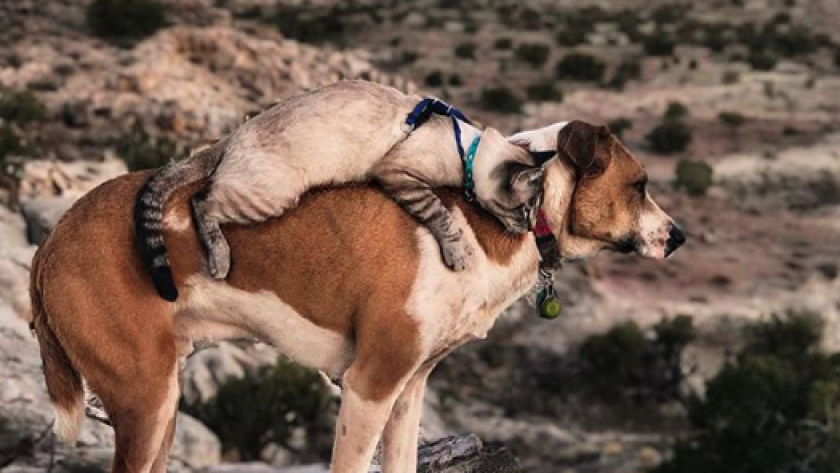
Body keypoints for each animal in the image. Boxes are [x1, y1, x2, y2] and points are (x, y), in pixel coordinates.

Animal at [31, 121, 684, 472]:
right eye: (640, 186)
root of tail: (51, 242)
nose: (678, 237)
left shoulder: (408, 391)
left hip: (162, 404)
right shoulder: (370, 384)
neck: (500, 209)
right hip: (145, 401)